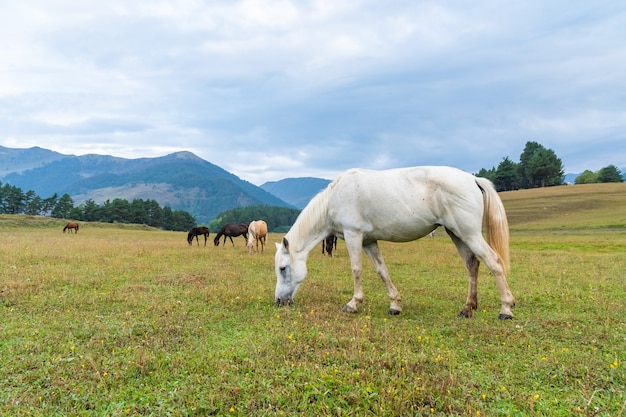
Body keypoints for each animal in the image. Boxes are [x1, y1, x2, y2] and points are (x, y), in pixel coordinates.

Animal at [272, 166, 512, 318]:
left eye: (283, 268)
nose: (278, 301)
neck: (334, 198)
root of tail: (472, 179)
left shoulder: (353, 235)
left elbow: (356, 269)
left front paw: (353, 304)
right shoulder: (369, 241)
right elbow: (382, 271)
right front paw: (395, 305)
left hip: (469, 233)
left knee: (494, 262)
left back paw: (506, 309)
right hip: (457, 234)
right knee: (472, 265)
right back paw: (467, 308)